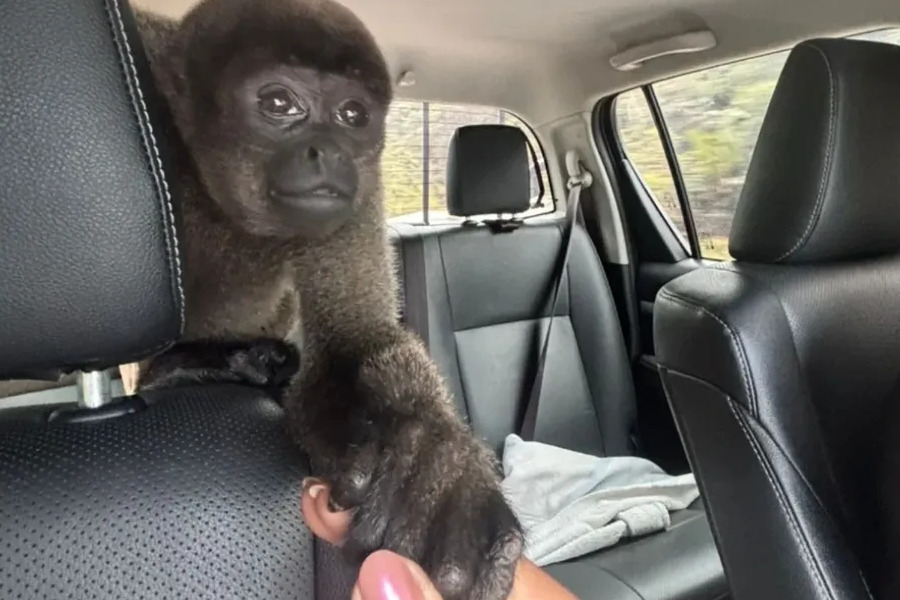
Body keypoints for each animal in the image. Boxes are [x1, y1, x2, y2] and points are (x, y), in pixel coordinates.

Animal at [127, 1, 524, 598]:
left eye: (353, 116)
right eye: (278, 103)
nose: (330, 153)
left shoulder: (362, 188)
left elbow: (353, 344)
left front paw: (438, 464)